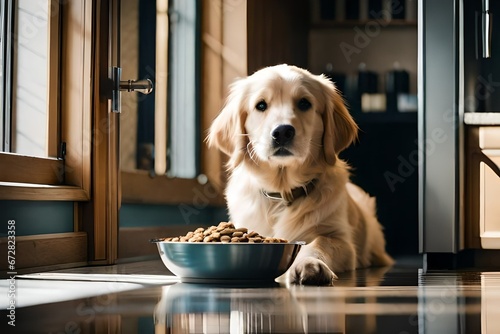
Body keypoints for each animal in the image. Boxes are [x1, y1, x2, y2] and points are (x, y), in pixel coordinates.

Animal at [207, 63, 394, 284]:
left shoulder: (340, 239)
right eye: (261, 105)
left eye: (304, 103)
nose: (282, 132)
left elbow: (319, 243)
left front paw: (309, 264)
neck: (281, 194)